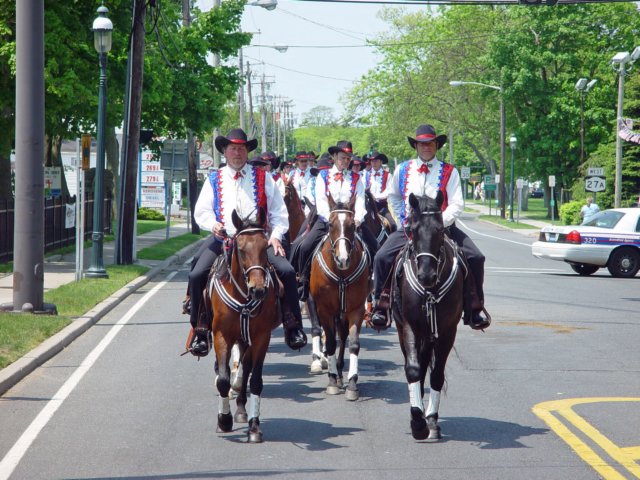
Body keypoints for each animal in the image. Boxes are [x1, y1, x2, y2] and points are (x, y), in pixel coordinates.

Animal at [210, 209, 278, 442]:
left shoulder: (261, 337)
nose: (258, 289)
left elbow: (255, 380)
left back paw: (241, 409)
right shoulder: (221, 335)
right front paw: (223, 420)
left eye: (266, 247)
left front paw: (254, 426)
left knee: (246, 368)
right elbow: (223, 380)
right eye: (240, 248)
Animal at [308, 193, 370, 400]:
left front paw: (352, 383)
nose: (343, 259)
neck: (341, 273)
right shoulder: (324, 309)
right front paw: (332, 380)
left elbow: (353, 344)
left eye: (353, 226)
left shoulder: (357, 309)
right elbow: (330, 343)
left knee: (342, 337)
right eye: (330, 225)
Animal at [390, 193, 464, 440]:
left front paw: (430, 420)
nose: (426, 275)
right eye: (413, 229)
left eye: (440, 229)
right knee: (418, 366)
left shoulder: (448, 330)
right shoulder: (408, 326)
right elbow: (413, 369)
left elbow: (437, 375)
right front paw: (417, 423)